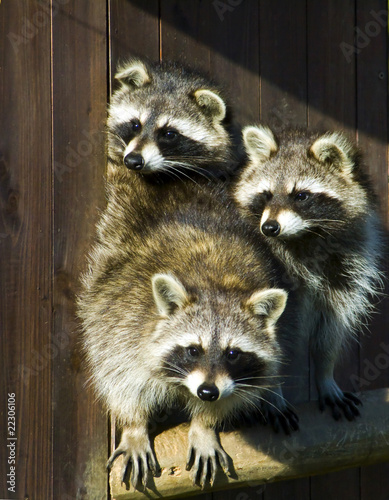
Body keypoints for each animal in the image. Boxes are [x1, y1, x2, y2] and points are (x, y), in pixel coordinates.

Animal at [77, 180, 294, 488]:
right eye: (193, 350)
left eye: (232, 354)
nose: (207, 392)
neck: (215, 283)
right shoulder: (123, 325)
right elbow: (121, 379)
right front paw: (134, 427)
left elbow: (232, 395)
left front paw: (204, 425)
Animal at [232, 126, 384, 422]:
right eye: (266, 195)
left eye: (300, 195)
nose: (269, 227)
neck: (305, 237)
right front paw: (273, 394)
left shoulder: (346, 267)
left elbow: (332, 326)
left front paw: (326, 373)